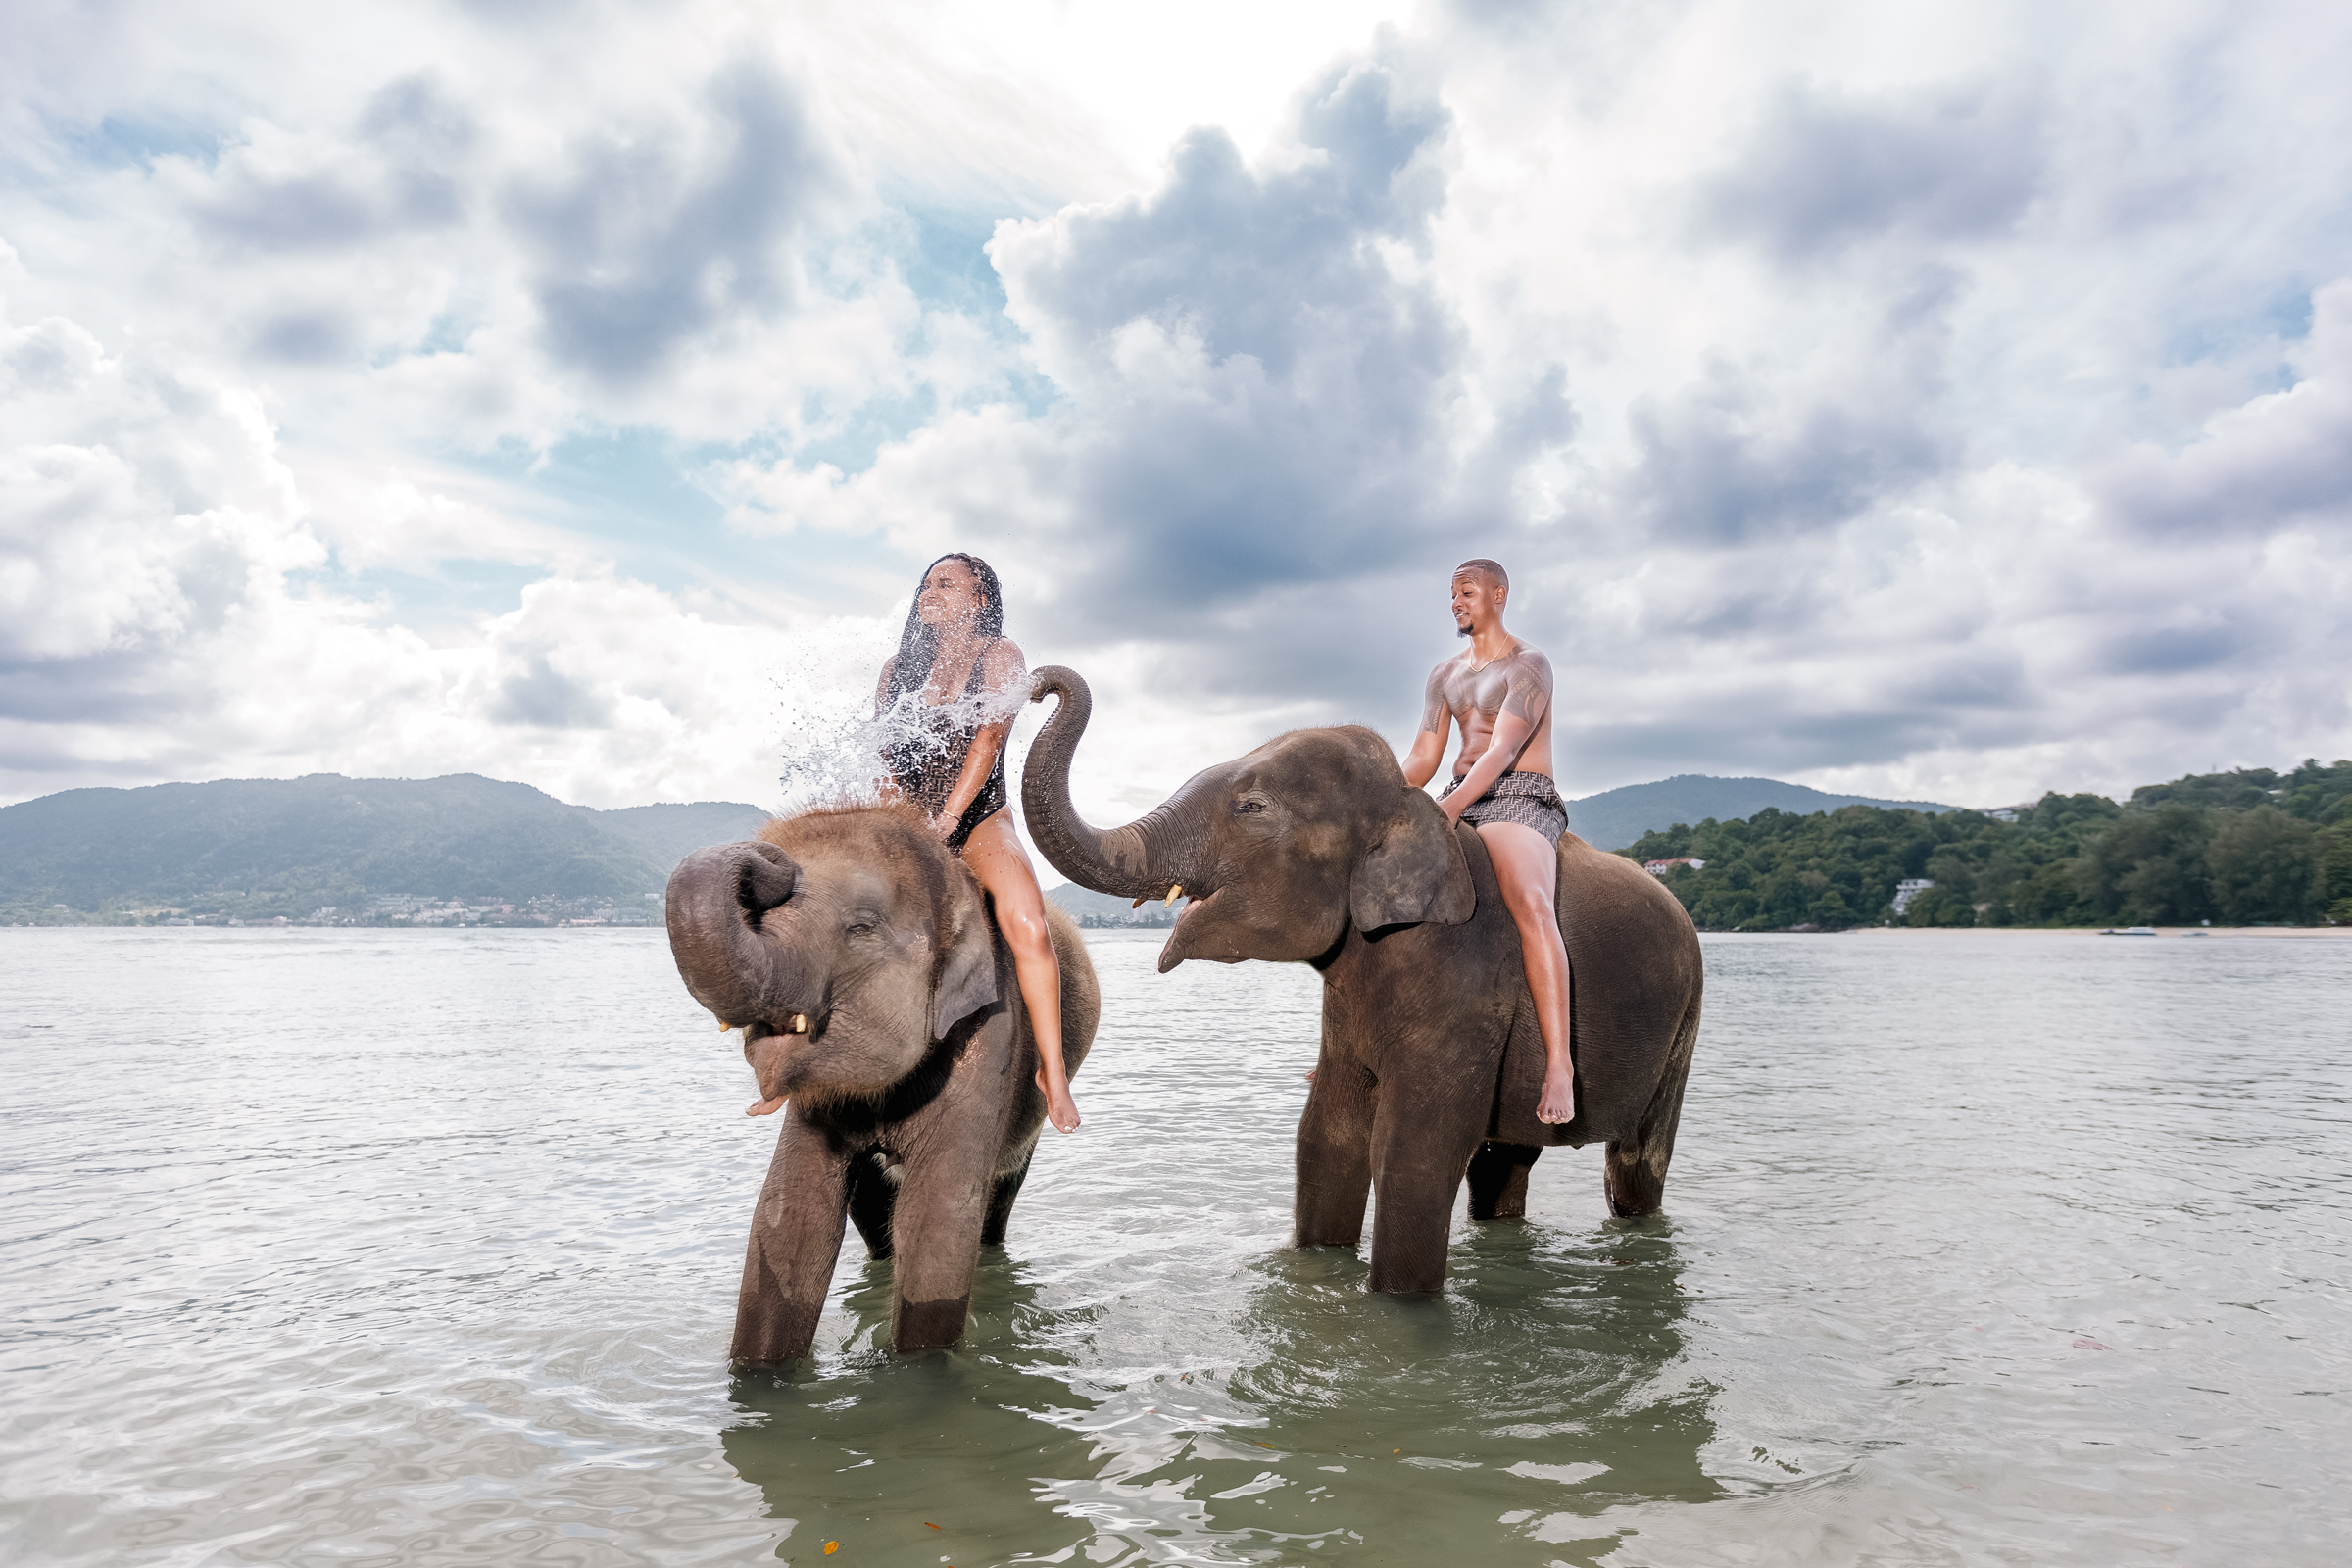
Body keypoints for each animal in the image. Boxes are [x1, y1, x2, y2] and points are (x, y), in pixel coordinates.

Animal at [664, 804, 1100, 1364]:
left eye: (861, 927)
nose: (766, 857)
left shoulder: (994, 1035)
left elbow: (937, 1219)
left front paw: (921, 1371)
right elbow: (791, 1215)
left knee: (998, 1199)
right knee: (870, 1208)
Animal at [1020, 666, 1700, 1294]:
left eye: (1252, 808)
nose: (1036, 684)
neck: (1405, 803)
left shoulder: (1469, 983)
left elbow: (1412, 1156)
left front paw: (1400, 1309)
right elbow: (1327, 1136)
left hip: (1684, 1018)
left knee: (1637, 1164)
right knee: (1505, 1164)